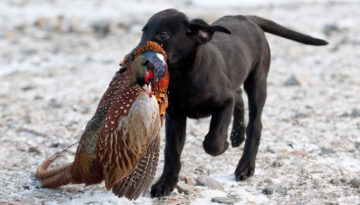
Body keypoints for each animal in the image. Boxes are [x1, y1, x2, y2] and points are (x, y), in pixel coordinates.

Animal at [128, 8, 328, 196]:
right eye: (143, 32)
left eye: (163, 35)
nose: (131, 59)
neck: (185, 77)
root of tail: (248, 18)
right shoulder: (176, 117)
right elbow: (172, 153)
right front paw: (165, 184)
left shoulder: (224, 103)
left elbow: (213, 140)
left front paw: (222, 145)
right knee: (238, 97)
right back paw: (237, 135)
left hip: (257, 81)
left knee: (255, 123)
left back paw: (245, 166)